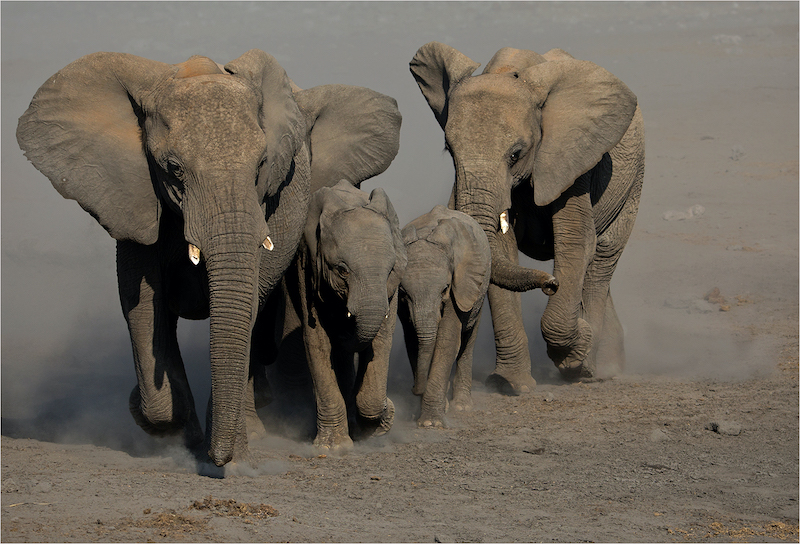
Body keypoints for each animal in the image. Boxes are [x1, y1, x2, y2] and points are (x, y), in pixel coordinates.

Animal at [276, 179, 407, 451]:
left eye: (390, 270)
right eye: (342, 270)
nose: (391, 405)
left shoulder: (392, 289)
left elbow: (381, 341)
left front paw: (380, 420)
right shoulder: (307, 269)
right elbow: (317, 341)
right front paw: (333, 447)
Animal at [398, 205, 494, 428]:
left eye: (444, 289)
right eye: (404, 293)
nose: (415, 390)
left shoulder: (459, 284)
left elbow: (447, 341)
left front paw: (431, 423)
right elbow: (413, 342)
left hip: (480, 288)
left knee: (468, 340)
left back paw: (461, 406)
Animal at [410, 42, 644, 387]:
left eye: (516, 154)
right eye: (449, 151)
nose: (551, 283)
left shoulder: (572, 159)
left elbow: (576, 242)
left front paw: (576, 359)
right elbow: (499, 249)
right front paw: (511, 385)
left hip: (633, 180)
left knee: (603, 259)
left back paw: (594, 369)